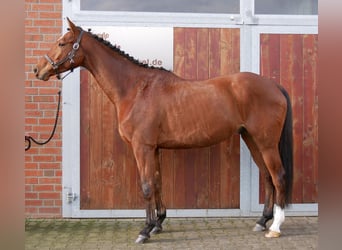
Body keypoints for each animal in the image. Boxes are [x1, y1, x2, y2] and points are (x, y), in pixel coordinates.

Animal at [33, 18, 292, 244]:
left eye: (62, 43)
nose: (38, 69)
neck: (136, 89)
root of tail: (274, 85)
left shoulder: (142, 148)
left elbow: (147, 186)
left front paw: (145, 230)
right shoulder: (154, 149)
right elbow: (157, 182)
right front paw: (158, 223)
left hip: (266, 142)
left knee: (278, 176)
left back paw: (276, 227)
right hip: (252, 140)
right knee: (267, 176)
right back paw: (262, 221)